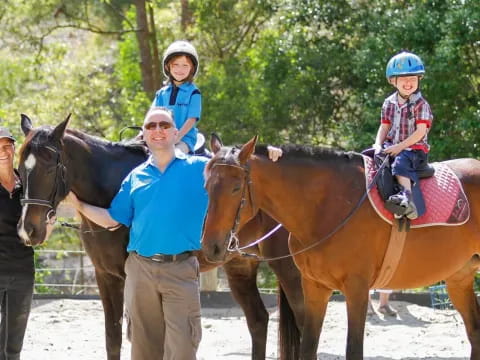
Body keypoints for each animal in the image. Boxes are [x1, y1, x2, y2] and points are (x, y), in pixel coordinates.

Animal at [17, 115, 304, 360]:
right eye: (19, 169)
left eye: (49, 169)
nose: (28, 229)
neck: (111, 191)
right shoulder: (105, 275)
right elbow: (113, 339)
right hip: (239, 266)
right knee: (258, 321)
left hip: (289, 268)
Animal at [202, 135, 480, 360]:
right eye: (206, 186)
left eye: (236, 188)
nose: (211, 246)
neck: (327, 207)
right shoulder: (315, 287)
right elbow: (308, 348)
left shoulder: (357, 289)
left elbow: (353, 350)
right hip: (459, 278)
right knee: (474, 332)